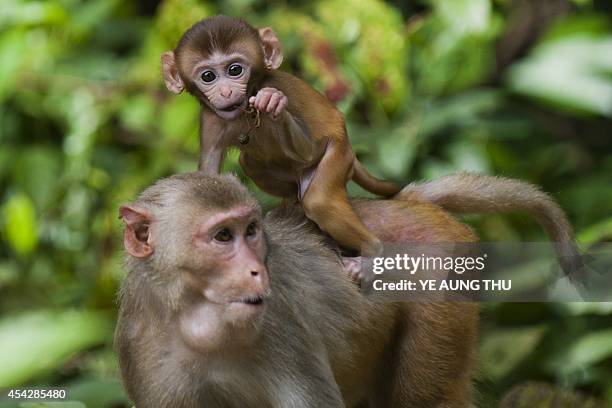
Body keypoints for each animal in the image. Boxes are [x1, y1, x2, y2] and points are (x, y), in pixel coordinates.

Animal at [160, 17, 400, 258]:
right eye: (208, 76)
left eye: (235, 70)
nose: (226, 92)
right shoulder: (210, 120)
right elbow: (209, 173)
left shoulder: (277, 88)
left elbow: (308, 152)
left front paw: (274, 103)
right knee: (250, 164)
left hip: (338, 155)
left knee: (319, 200)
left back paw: (370, 250)